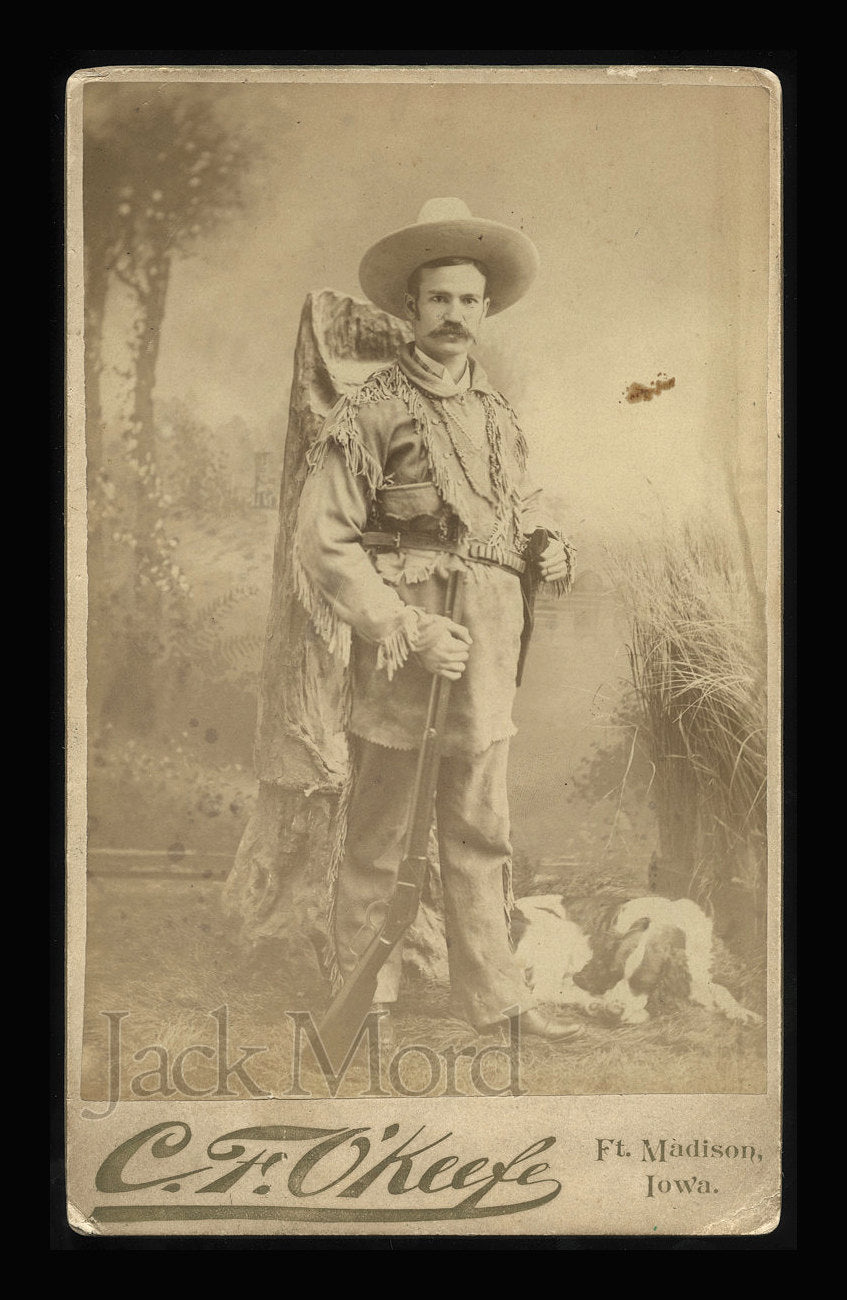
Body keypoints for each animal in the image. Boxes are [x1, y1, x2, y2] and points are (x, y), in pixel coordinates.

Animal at [511, 894, 763, 1024]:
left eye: (642, 983)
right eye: (613, 974)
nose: (615, 1011)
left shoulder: (697, 973)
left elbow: (720, 989)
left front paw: (741, 1011)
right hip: (559, 936)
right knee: (545, 993)